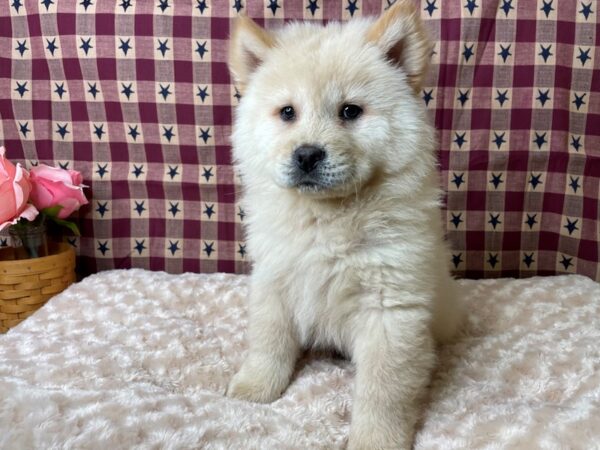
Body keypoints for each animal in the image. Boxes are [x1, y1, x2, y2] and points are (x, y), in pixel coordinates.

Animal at [227, 1, 462, 448]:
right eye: (287, 112)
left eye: (350, 111)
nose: (306, 154)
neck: (327, 218)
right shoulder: (274, 280)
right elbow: (268, 342)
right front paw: (255, 388)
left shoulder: (390, 309)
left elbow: (383, 390)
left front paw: (376, 439)